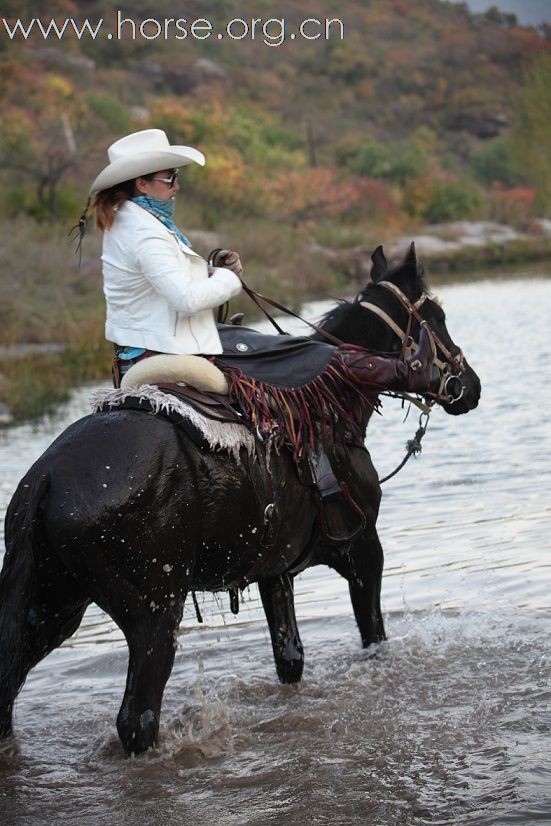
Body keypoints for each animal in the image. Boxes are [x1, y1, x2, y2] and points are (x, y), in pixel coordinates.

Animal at [0, 241, 480, 748]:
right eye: (437, 315)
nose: (470, 386)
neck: (334, 407)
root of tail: (48, 477)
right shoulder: (364, 550)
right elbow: (375, 641)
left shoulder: (276, 571)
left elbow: (290, 659)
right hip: (152, 615)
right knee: (137, 720)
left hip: (51, 607)